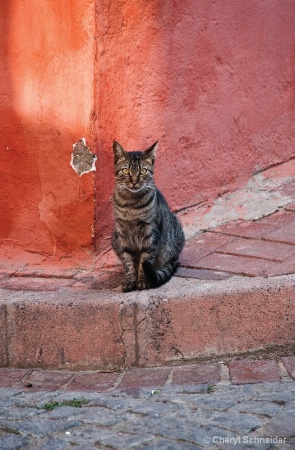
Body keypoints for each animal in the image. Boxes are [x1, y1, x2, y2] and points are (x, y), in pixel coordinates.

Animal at [111, 141, 184, 292]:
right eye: (126, 171)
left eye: (143, 171)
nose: (134, 181)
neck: (131, 205)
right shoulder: (122, 233)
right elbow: (128, 260)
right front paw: (130, 280)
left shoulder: (150, 231)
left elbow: (145, 259)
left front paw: (143, 281)